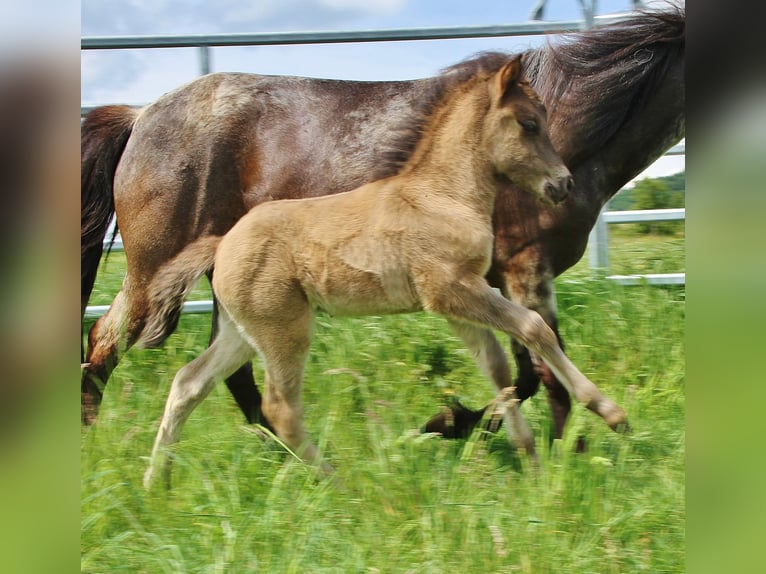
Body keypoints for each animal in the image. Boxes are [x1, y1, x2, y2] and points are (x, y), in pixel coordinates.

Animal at [81, 8, 684, 440]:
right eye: (529, 125)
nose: (559, 185)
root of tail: (140, 116)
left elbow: (526, 369)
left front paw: (464, 426)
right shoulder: (523, 268)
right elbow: (541, 364)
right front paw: (542, 454)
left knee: (232, 377)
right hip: (157, 269)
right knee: (106, 341)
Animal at [140, 57, 628, 486]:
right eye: (529, 123)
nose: (562, 184)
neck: (441, 195)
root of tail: (221, 244)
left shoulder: (456, 303)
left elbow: (498, 367)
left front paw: (528, 455)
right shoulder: (451, 287)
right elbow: (534, 328)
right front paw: (609, 412)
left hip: (241, 331)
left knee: (189, 383)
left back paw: (156, 481)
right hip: (284, 329)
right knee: (280, 408)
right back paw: (337, 482)